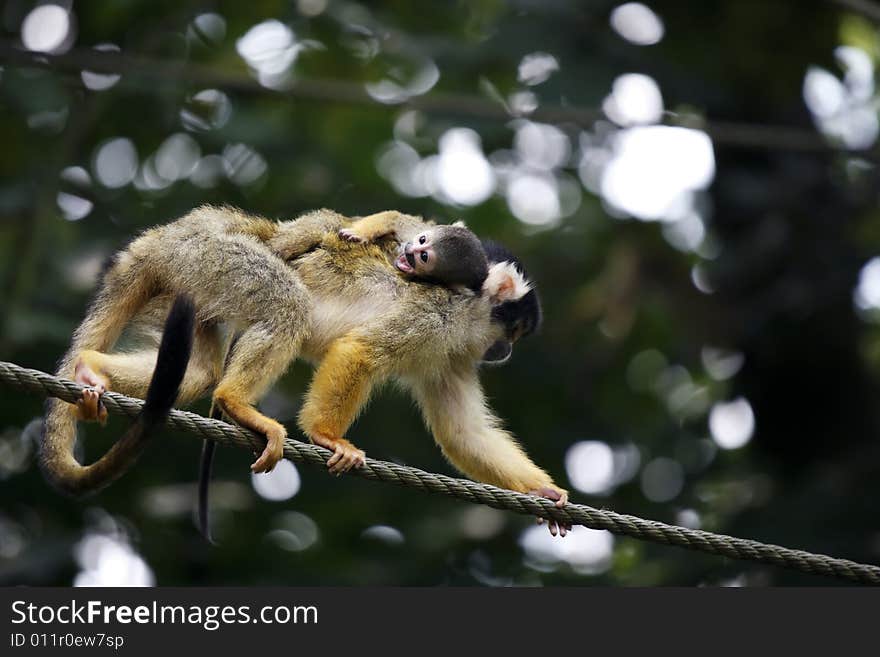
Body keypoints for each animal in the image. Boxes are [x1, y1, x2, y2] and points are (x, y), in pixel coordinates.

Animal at [336, 211, 488, 290]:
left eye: (424, 256)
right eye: (422, 239)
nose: (409, 248)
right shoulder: (415, 229)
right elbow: (394, 217)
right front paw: (358, 233)